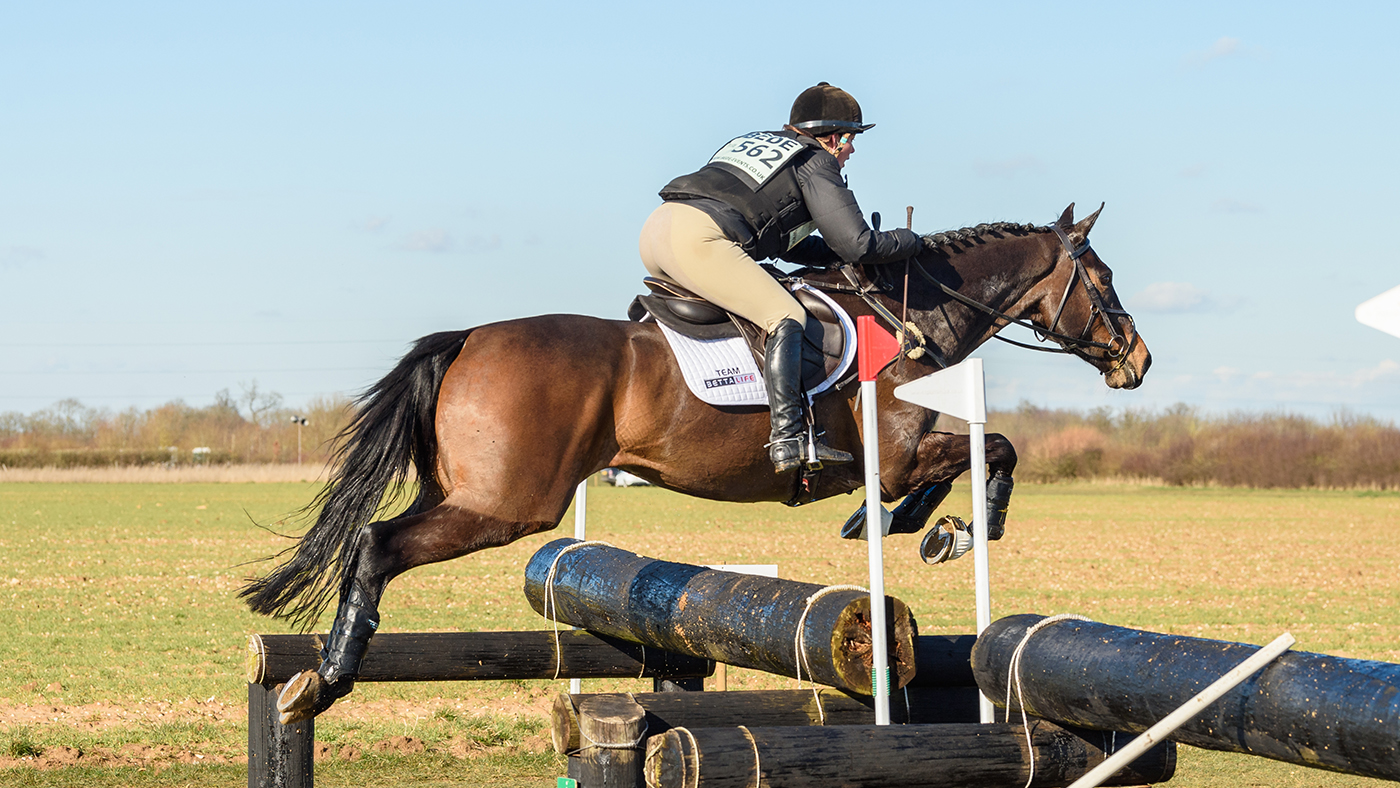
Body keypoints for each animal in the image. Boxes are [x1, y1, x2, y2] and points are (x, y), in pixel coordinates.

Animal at [242, 202, 1151, 724]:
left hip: (464, 491)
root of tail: (468, 338)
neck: (911, 311)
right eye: (1104, 279)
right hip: (506, 505)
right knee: (377, 545)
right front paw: (952, 531)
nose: (1136, 361)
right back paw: (327, 677)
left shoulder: (901, 457)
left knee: (375, 539)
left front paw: (901, 525)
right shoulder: (894, 453)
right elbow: (990, 451)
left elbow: (954, 467)